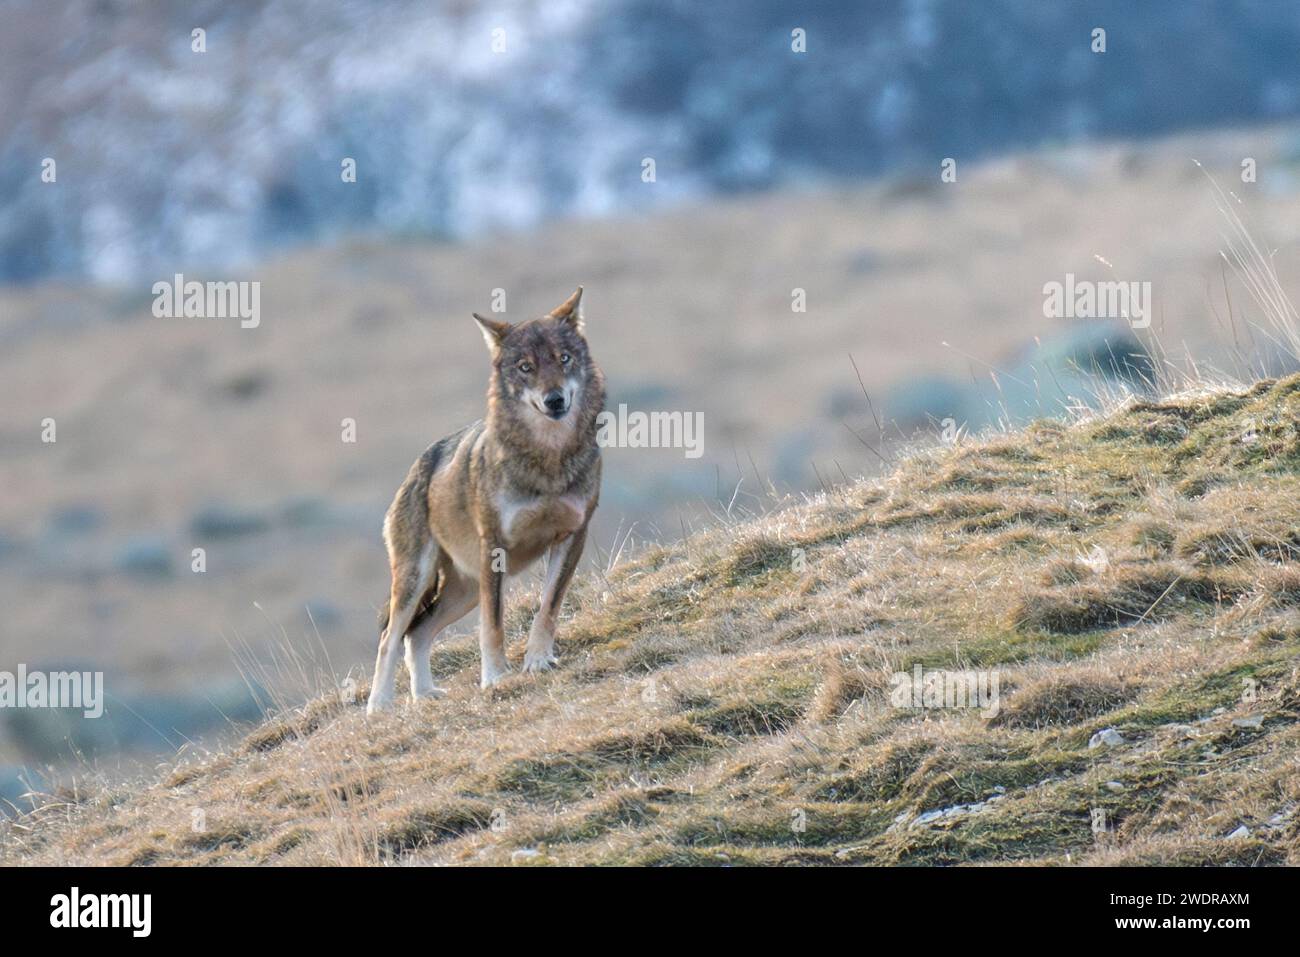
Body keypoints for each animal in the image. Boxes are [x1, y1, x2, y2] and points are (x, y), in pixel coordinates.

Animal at [366, 287, 603, 712]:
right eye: (525, 367)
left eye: (564, 358)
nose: (555, 400)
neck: (548, 459)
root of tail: (415, 469)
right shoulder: (494, 547)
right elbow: (493, 625)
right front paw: (494, 678)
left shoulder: (573, 536)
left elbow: (548, 607)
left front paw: (538, 660)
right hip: (418, 578)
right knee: (389, 638)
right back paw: (379, 705)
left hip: (461, 589)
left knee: (417, 634)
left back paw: (424, 694)